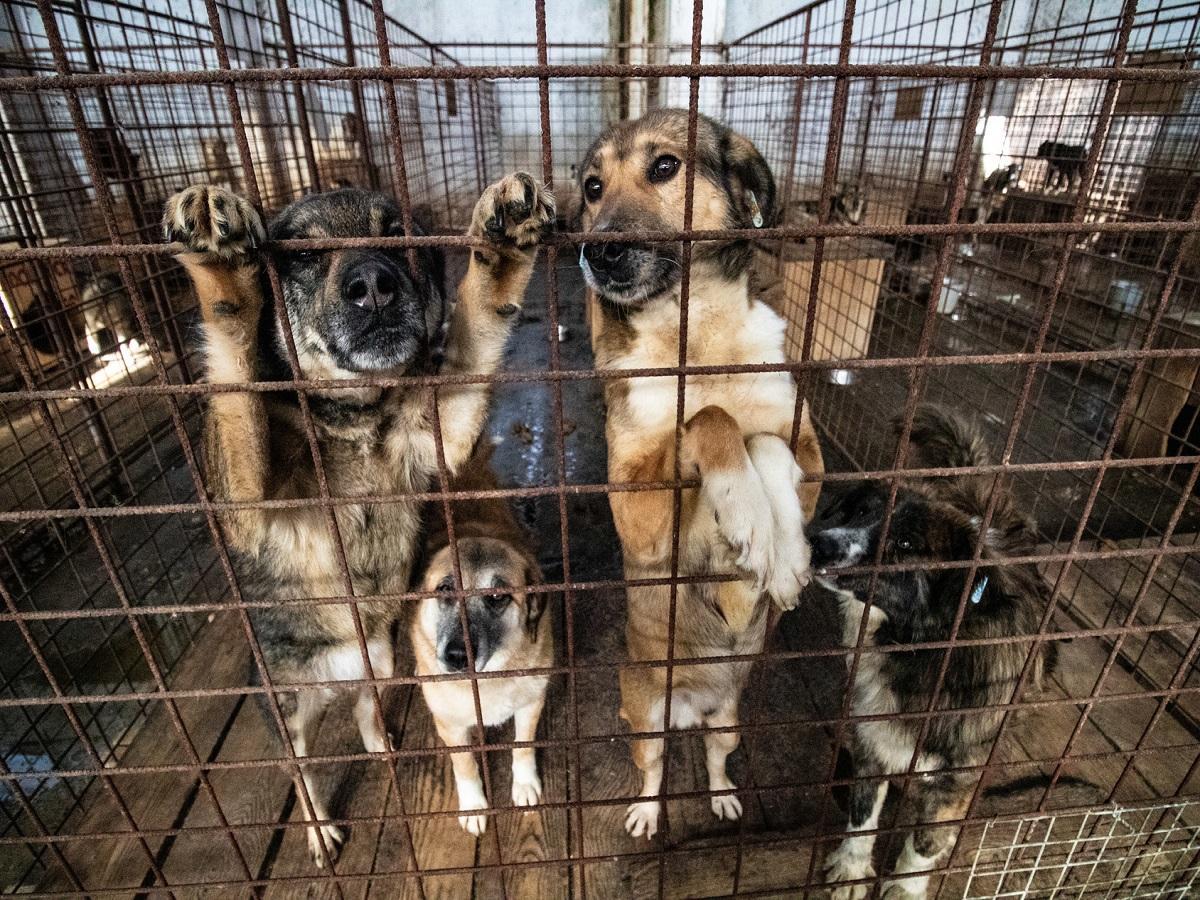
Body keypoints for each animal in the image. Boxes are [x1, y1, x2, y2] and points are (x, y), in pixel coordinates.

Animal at [162, 172, 554, 868]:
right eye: (304, 254)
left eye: (395, 234)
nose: (373, 284)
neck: (352, 421)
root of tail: (337, 679)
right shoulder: (247, 507)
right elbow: (237, 388)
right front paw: (220, 265)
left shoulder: (441, 431)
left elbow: (480, 320)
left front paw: (503, 239)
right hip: (289, 708)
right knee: (302, 772)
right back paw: (319, 828)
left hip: (382, 656)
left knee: (366, 707)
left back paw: (378, 741)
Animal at [573, 111, 820, 840]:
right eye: (593, 187)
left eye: (664, 167)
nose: (598, 252)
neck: (697, 340)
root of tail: (691, 703)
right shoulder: (638, 515)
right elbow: (708, 419)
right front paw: (747, 511)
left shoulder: (812, 457)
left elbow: (761, 438)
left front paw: (779, 547)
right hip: (646, 719)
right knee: (654, 767)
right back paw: (647, 814)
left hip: (729, 721)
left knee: (714, 754)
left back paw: (723, 797)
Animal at [811, 408, 1056, 900]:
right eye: (861, 511)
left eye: (906, 545)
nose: (820, 543)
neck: (918, 651)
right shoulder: (873, 739)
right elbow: (862, 815)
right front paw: (852, 868)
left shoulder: (956, 781)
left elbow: (925, 841)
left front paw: (905, 888)